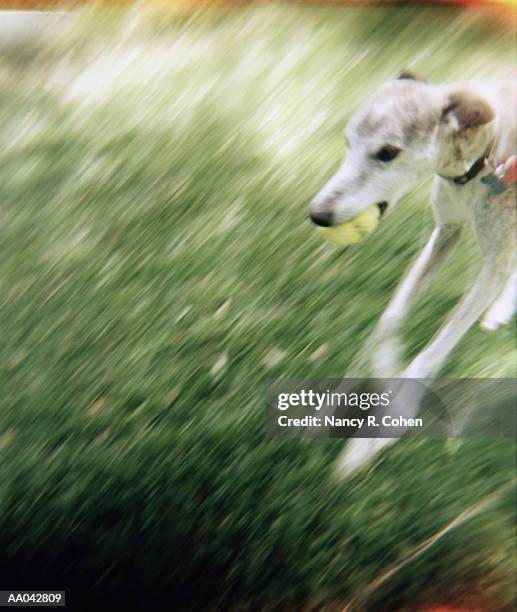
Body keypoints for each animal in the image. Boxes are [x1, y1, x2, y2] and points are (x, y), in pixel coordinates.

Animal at [308, 70, 512, 474]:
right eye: (347, 141)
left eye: (387, 152)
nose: (318, 215)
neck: (484, 159)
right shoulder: (446, 232)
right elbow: (389, 321)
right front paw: (368, 382)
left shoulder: (492, 267)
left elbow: (428, 357)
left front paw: (379, 432)